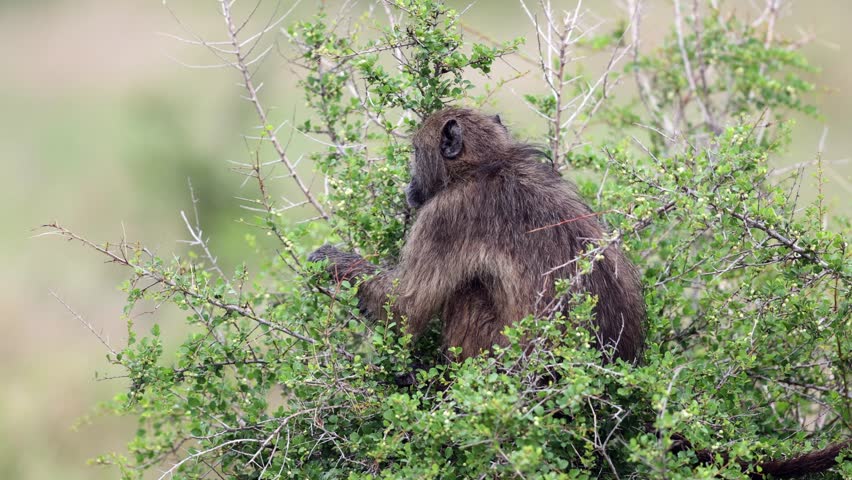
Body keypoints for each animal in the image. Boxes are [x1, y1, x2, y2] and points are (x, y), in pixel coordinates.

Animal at [309, 107, 645, 363]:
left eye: (416, 152)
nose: (409, 185)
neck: (485, 165)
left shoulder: (443, 216)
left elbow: (405, 305)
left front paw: (333, 260)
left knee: (465, 292)